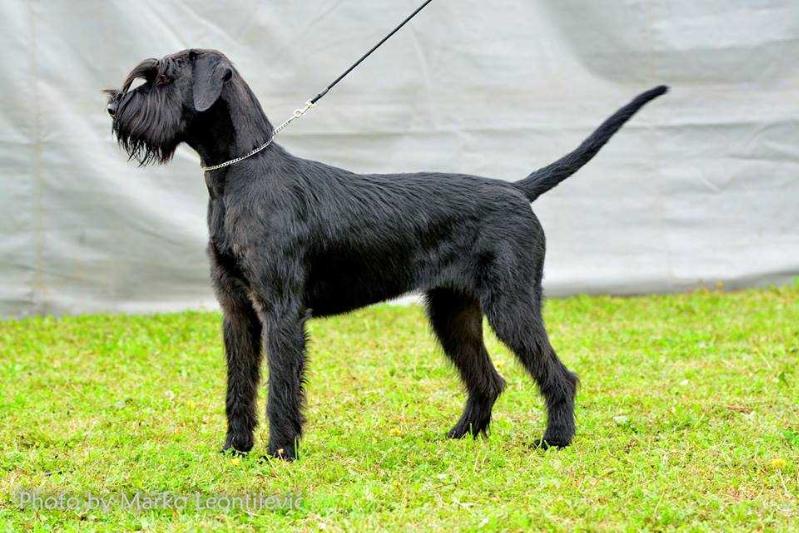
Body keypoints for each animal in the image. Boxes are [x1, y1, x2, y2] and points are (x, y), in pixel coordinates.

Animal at [108, 47, 668, 460]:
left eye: (163, 78)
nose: (114, 107)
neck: (238, 175)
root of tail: (516, 190)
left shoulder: (281, 311)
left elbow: (282, 386)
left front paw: (279, 452)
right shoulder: (238, 312)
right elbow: (238, 385)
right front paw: (234, 449)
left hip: (511, 305)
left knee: (557, 374)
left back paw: (554, 440)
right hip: (452, 312)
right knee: (487, 379)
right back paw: (461, 436)